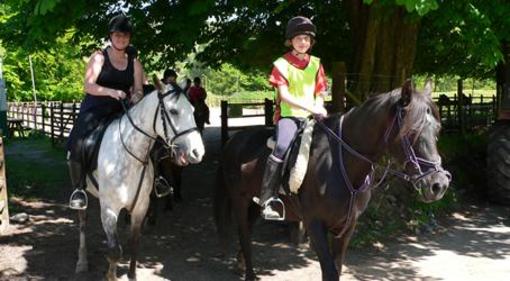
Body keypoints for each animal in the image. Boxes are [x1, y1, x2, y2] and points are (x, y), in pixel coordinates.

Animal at [214, 79, 450, 280]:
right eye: (412, 131)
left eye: (438, 130)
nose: (438, 185)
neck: (340, 161)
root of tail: (233, 140)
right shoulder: (315, 224)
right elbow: (329, 272)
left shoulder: (346, 226)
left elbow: (336, 268)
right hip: (239, 199)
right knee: (244, 233)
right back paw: (249, 273)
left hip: (256, 203)